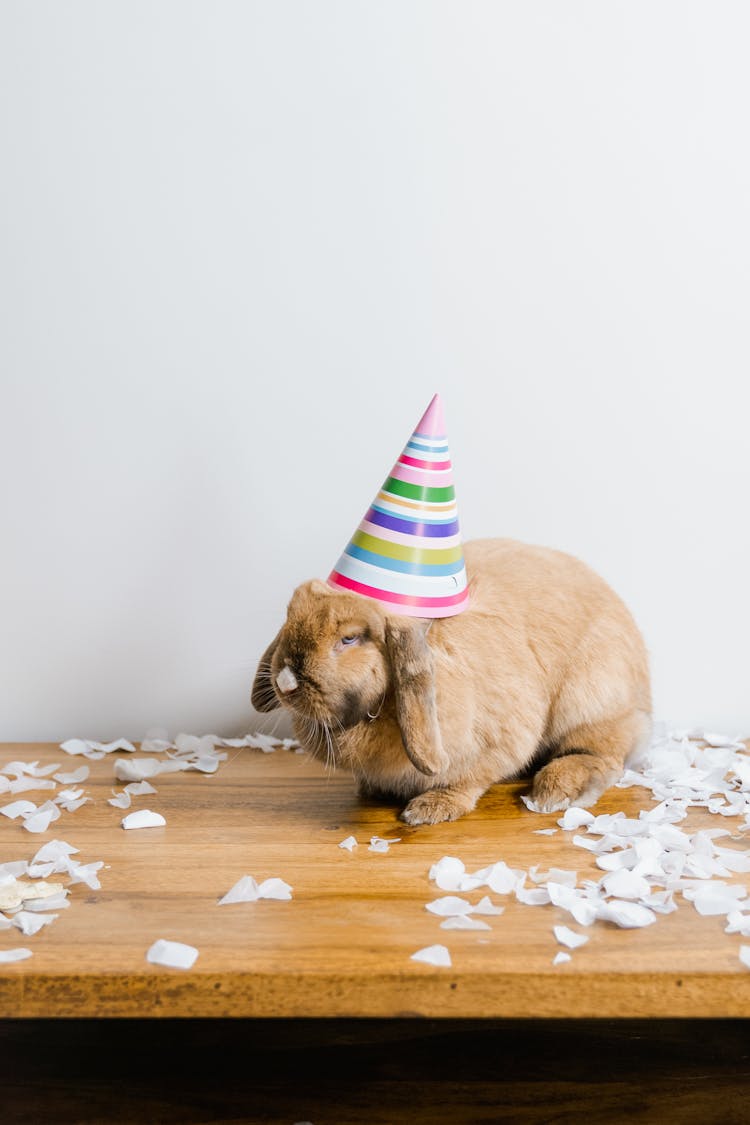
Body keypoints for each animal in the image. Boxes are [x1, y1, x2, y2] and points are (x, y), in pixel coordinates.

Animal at [251, 540, 652, 823]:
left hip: (592, 703)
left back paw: (554, 792)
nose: (285, 681)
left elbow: (466, 781)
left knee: (603, 753)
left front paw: (429, 810)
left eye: (349, 638)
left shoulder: (496, 744)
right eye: (290, 615)